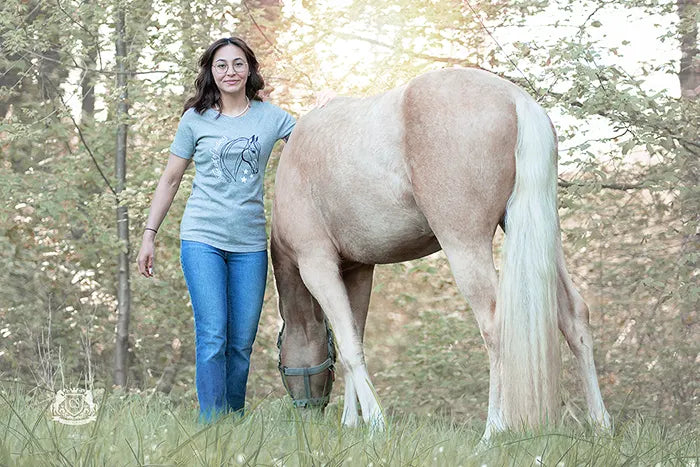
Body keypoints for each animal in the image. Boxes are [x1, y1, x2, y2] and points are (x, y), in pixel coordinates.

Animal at [271, 67, 611, 440]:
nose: (306, 413)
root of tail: (516, 99)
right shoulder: (357, 270)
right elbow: (355, 340)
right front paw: (352, 423)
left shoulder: (317, 266)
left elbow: (348, 348)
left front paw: (375, 423)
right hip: (539, 236)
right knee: (573, 314)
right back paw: (600, 423)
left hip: (464, 246)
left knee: (495, 326)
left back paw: (493, 430)